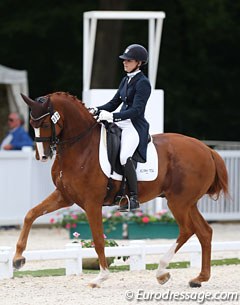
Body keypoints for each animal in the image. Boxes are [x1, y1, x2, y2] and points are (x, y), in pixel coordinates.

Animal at [13, 92, 229, 288]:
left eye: (46, 124)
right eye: (32, 124)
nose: (43, 156)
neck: (81, 147)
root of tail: (207, 149)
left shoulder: (92, 203)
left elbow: (98, 239)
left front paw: (101, 277)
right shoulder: (64, 197)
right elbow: (30, 214)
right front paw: (17, 259)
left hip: (178, 202)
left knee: (187, 230)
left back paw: (161, 272)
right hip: (188, 203)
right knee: (204, 232)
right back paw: (199, 278)